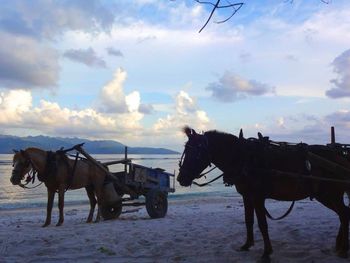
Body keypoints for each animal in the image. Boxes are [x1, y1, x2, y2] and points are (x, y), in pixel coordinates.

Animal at [178, 127, 350, 260]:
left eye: (197, 152)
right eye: (185, 150)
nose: (181, 178)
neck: (244, 158)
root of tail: (340, 157)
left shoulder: (258, 197)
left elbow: (262, 224)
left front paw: (267, 253)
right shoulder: (247, 197)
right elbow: (248, 221)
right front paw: (247, 245)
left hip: (330, 195)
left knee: (343, 214)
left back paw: (343, 249)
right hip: (326, 196)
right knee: (344, 214)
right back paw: (339, 245)